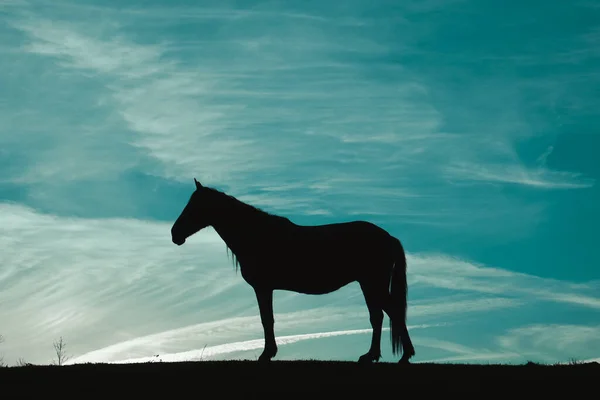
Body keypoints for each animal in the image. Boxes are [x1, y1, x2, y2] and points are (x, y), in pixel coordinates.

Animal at [169, 178, 412, 362]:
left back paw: (398, 355)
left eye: (194, 206)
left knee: (388, 313)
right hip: (368, 284)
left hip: (372, 283)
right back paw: (377, 355)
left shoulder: (263, 287)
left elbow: (266, 319)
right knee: (380, 315)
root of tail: (389, 237)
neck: (256, 235)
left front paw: (267, 354)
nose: (174, 234)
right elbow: (267, 319)